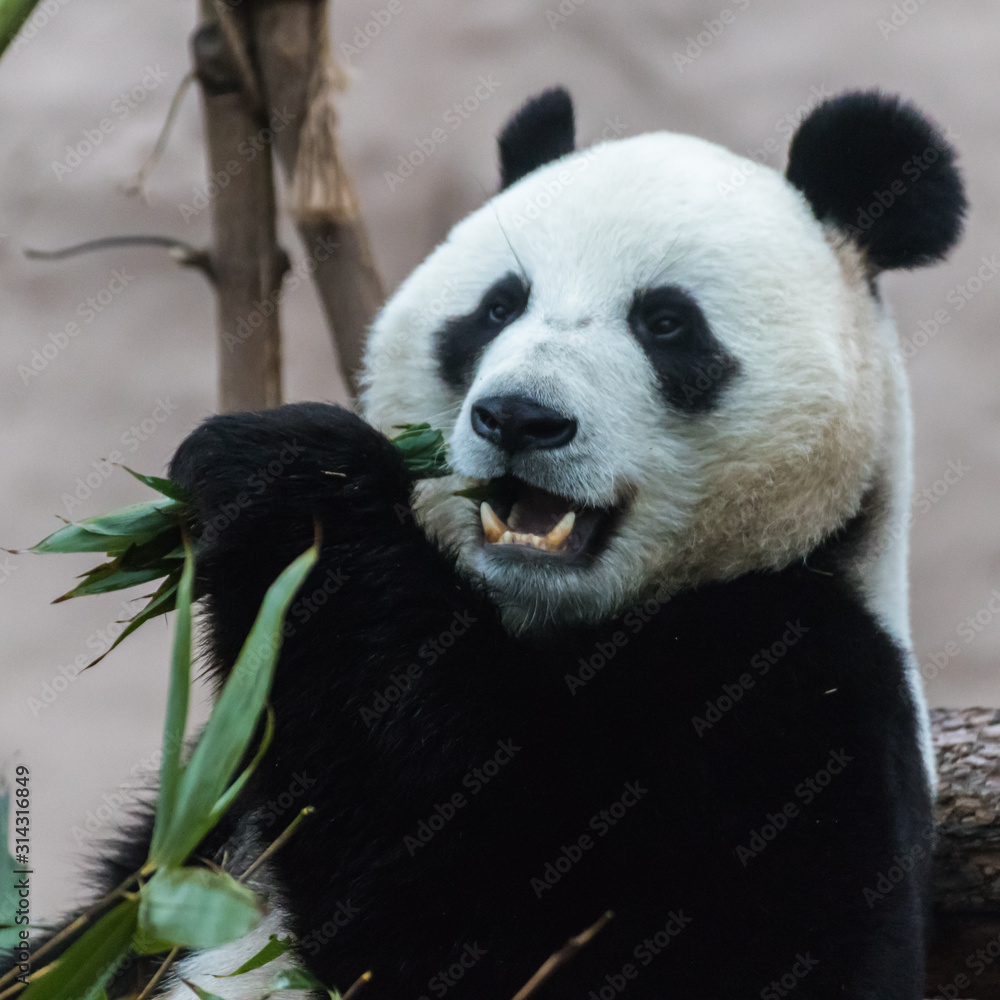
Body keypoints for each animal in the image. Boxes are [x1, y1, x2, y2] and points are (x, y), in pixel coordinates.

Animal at [103, 88, 966, 999]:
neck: (550, 622)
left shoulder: (803, 687)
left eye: (667, 323)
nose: (519, 416)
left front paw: (289, 480)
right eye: (498, 307)